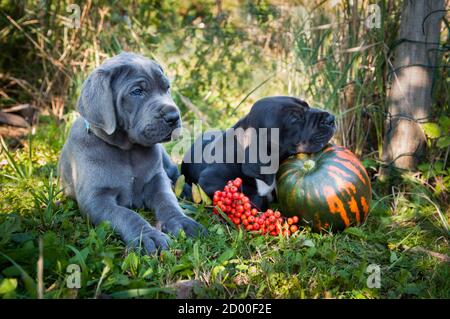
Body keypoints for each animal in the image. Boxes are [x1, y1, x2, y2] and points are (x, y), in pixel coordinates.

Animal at [59, 52, 206, 255]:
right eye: (137, 92)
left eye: (166, 88)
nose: (174, 116)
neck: (127, 150)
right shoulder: (95, 199)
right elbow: (125, 214)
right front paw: (148, 236)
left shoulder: (157, 180)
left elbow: (167, 201)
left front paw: (182, 222)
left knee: (176, 176)